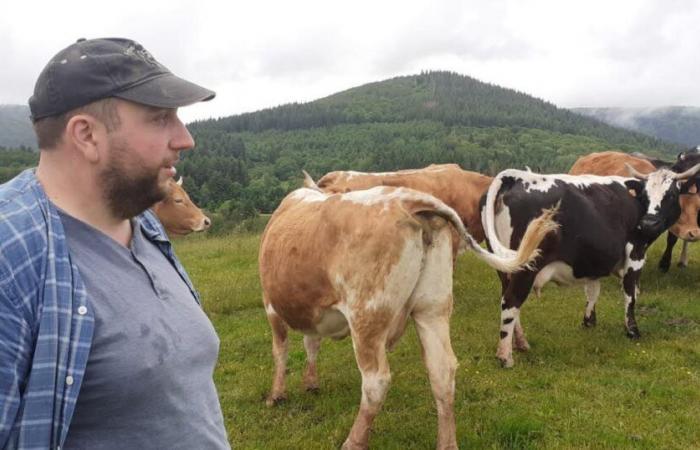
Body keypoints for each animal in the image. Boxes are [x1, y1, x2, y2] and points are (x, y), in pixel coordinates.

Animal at [258, 181, 556, 448]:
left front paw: (277, 394)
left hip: (367, 318)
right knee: (442, 372)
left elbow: (280, 350)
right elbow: (311, 342)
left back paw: (353, 442)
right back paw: (447, 443)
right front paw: (310, 382)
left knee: (376, 382)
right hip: (432, 310)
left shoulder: (271, 307)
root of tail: (409, 199)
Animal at [482, 163, 700, 368]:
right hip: (527, 266)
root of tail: (517, 176)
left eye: (671, 194)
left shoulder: (593, 259)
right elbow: (630, 294)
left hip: (505, 266)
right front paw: (632, 331)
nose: (648, 223)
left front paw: (589, 321)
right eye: (645, 196)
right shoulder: (635, 252)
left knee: (507, 298)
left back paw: (520, 343)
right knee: (511, 300)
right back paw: (505, 356)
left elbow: (593, 290)